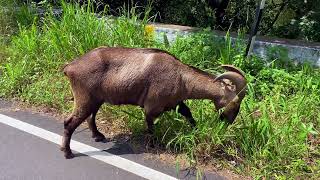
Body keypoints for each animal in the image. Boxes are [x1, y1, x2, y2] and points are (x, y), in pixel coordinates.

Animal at [61, 46, 246, 159]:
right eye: (236, 102)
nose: (228, 122)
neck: (181, 77)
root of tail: (70, 67)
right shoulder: (152, 107)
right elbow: (150, 126)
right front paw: (154, 144)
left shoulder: (175, 103)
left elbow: (188, 114)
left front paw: (196, 130)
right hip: (85, 99)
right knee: (69, 122)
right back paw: (67, 152)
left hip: (96, 100)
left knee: (90, 117)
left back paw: (97, 135)